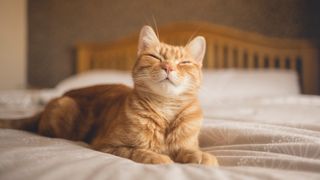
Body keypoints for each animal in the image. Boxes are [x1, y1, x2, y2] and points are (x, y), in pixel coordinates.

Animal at [0, 25, 218, 166]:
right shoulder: (107, 145)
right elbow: (138, 151)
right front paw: (159, 157)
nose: (168, 66)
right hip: (64, 109)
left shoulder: (185, 144)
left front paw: (201, 156)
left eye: (184, 63)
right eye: (155, 57)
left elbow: (189, 150)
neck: (165, 109)